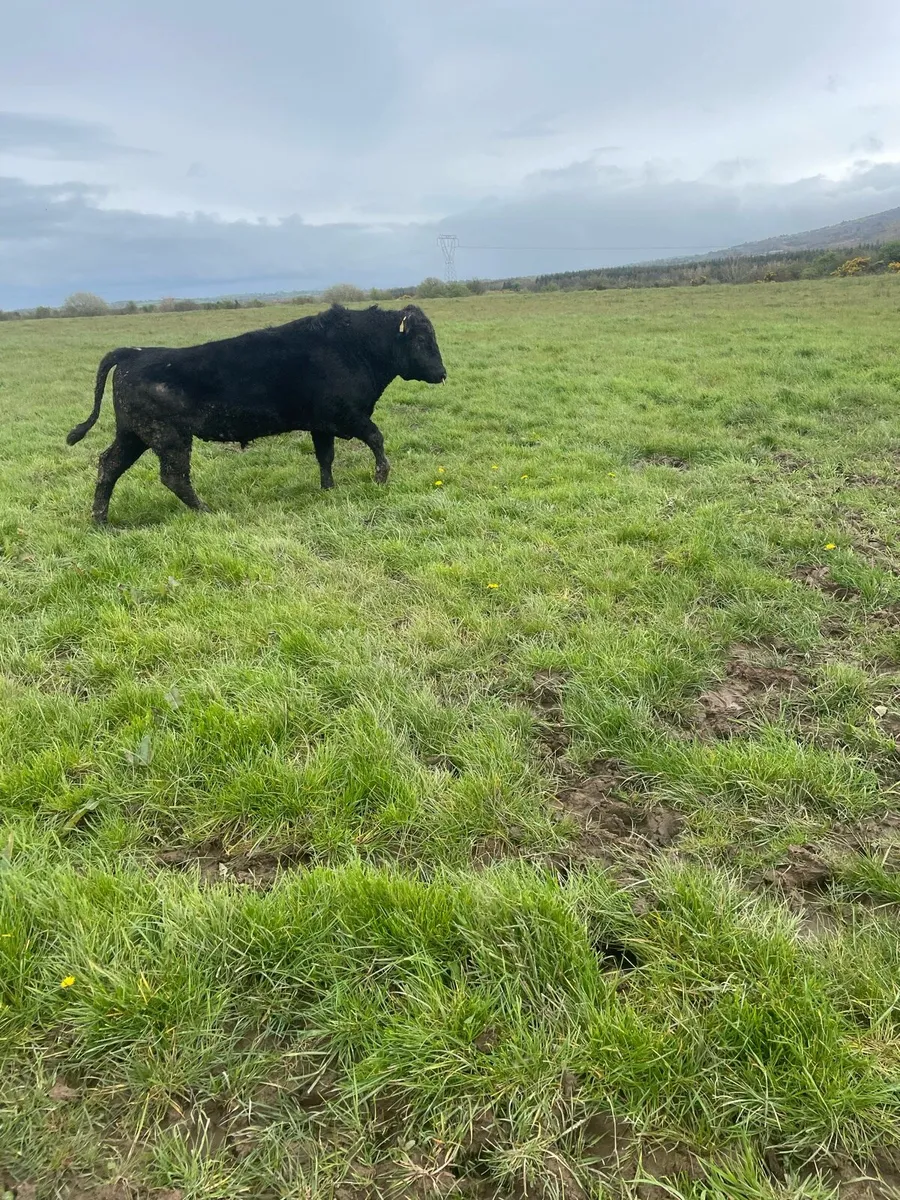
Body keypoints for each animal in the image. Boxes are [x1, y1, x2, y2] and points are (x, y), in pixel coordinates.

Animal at [66, 302, 447, 523]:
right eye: (423, 338)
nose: (442, 373)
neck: (355, 346)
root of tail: (134, 352)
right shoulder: (348, 416)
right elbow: (376, 437)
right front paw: (381, 476)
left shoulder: (321, 424)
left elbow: (325, 457)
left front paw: (328, 489)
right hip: (169, 439)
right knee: (173, 476)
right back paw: (207, 511)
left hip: (133, 435)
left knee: (109, 465)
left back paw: (101, 521)